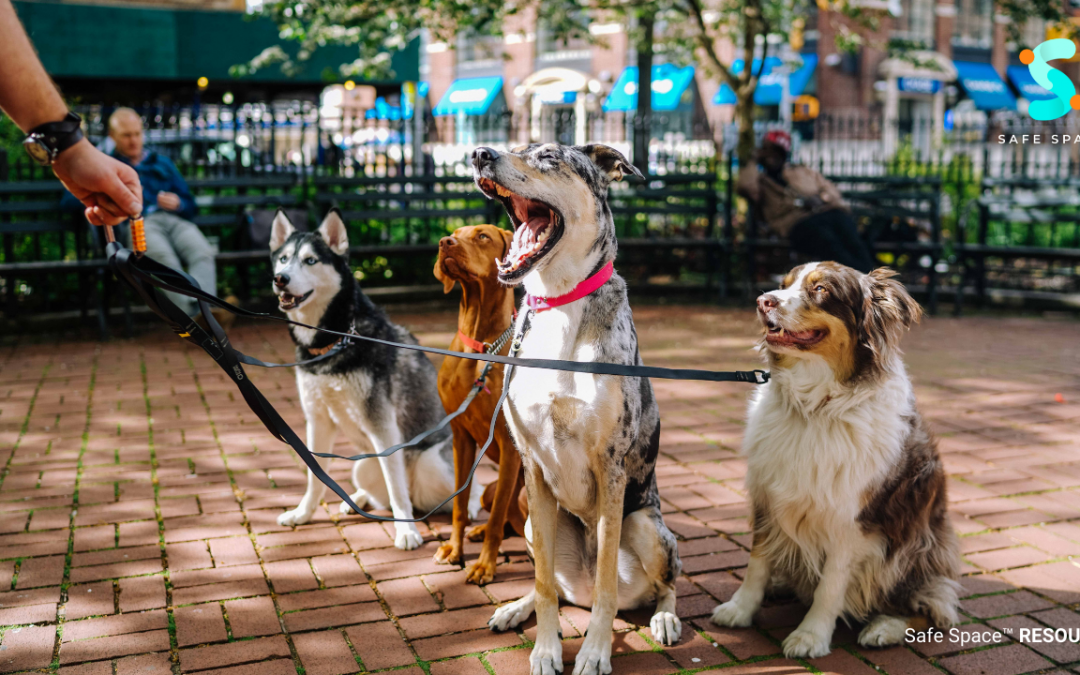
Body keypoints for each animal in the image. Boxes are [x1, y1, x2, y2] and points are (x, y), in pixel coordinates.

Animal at [434, 223, 527, 583]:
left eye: (483, 236)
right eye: (454, 233)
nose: (445, 243)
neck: (480, 346)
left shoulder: (509, 446)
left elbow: (497, 519)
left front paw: (485, 565)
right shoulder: (460, 437)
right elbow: (460, 506)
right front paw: (454, 549)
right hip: (488, 489)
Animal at [712, 260, 959, 656]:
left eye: (821, 289)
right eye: (784, 284)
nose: (763, 301)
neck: (815, 407)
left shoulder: (852, 521)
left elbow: (831, 585)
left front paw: (811, 635)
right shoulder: (768, 496)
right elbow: (757, 562)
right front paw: (741, 608)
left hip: (915, 548)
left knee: (936, 608)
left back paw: (885, 627)